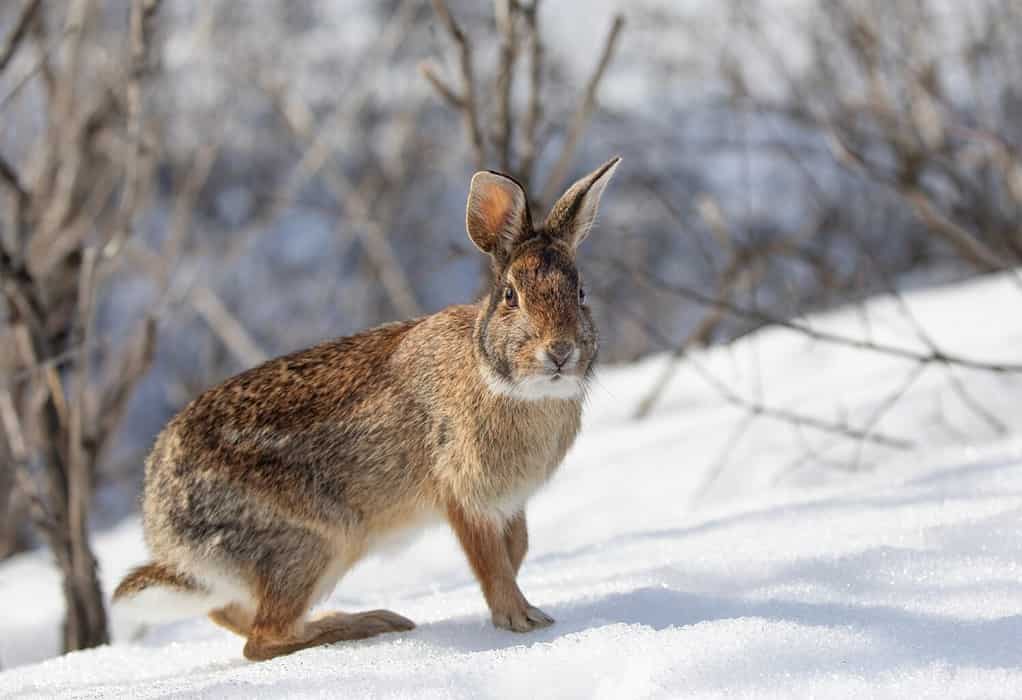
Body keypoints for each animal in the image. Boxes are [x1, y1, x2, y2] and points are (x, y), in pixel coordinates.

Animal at [114, 155, 617, 658]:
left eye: (581, 294)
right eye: (511, 296)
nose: (560, 351)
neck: (504, 381)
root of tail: (165, 530)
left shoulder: (509, 505)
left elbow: (518, 550)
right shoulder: (463, 494)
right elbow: (492, 564)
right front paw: (521, 620)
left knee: (231, 615)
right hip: (316, 541)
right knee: (264, 639)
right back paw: (369, 623)